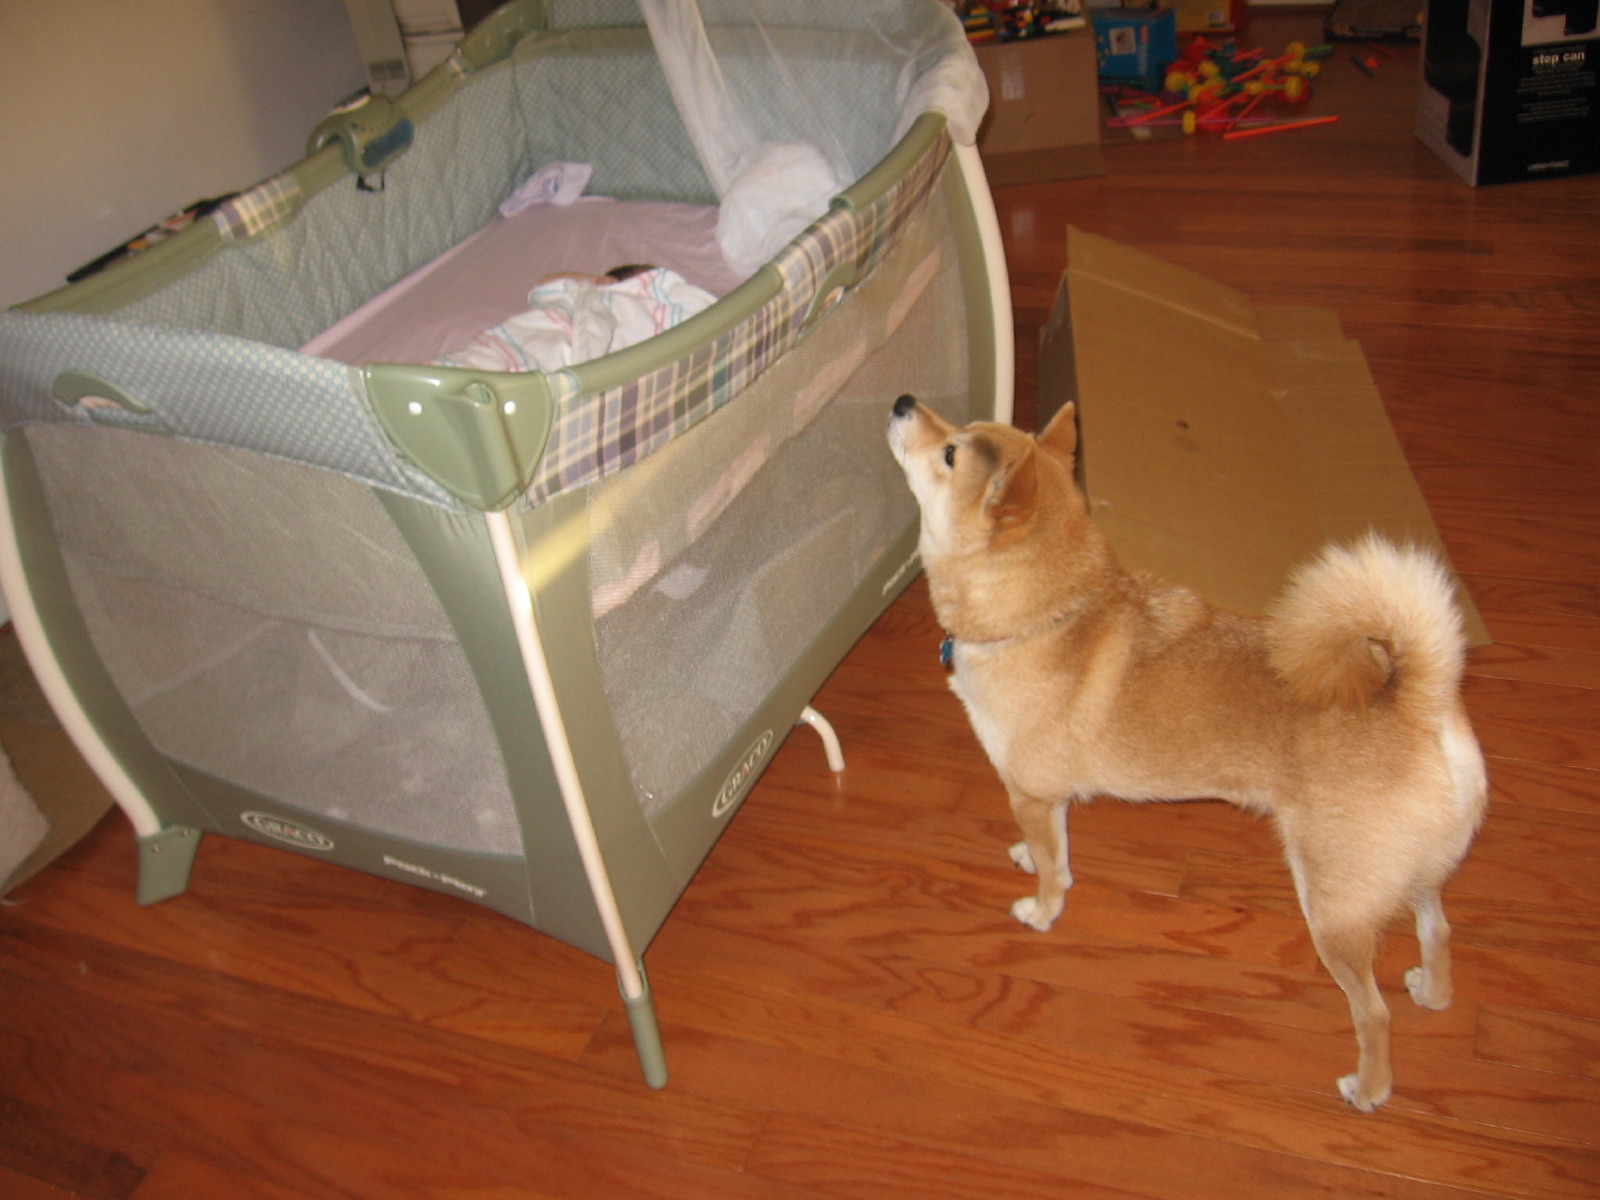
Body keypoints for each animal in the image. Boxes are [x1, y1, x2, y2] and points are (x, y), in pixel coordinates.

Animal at [887, 393, 1487, 1112]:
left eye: (952, 452)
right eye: (961, 430)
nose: (901, 401)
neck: (1046, 615)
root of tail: (1420, 701)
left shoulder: (1030, 792)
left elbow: (1054, 871)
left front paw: (1041, 909)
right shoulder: (1048, 800)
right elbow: (1051, 845)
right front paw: (1029, 856)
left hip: (1332, 904)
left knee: (1374, 1012)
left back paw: (1369, 1087)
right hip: (1404, 871)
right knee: (1438, 929)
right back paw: (1434, 990)